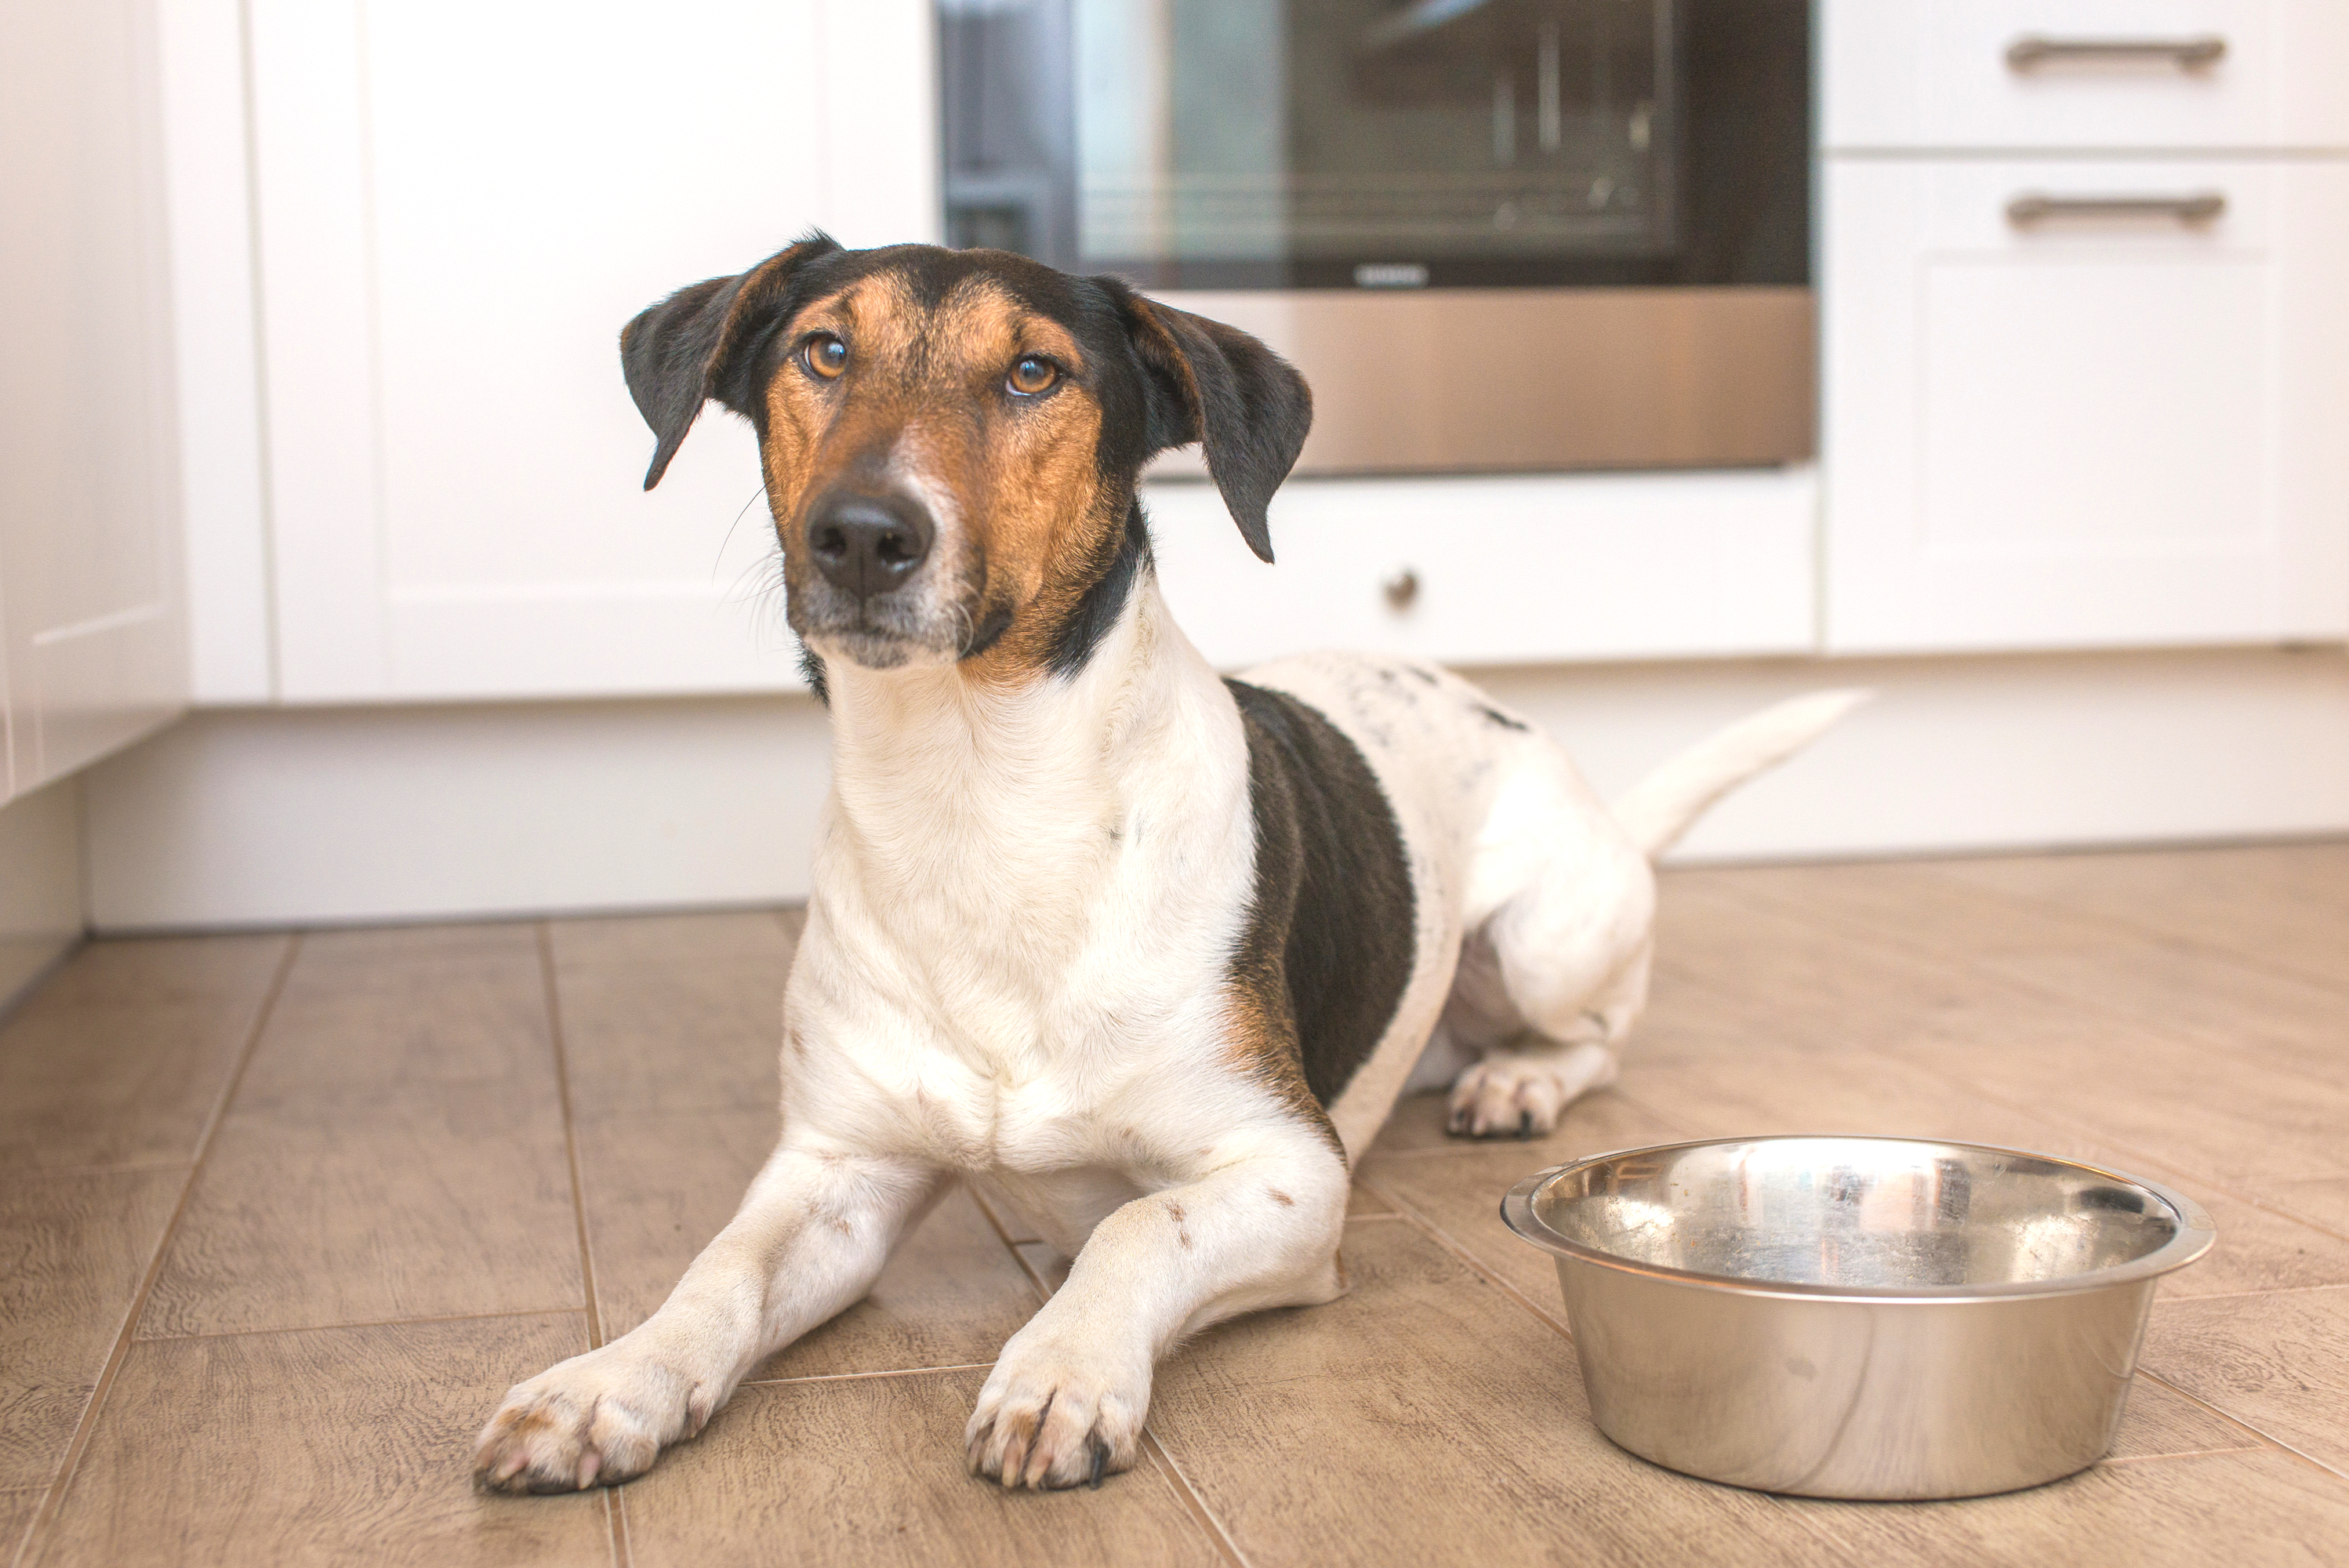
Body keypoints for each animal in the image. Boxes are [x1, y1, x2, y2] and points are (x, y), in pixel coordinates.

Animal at [467, 232, 1850, 1493]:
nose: (860, 535)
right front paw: (610, 1383)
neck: (980, 800)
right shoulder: (836, 1170)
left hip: (1548, 939)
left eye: (1035, 371)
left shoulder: (1289, 1171)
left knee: (1594, 1037)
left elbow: (1135, 1224)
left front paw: (1061, 1370)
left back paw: (1516, 1082)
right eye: (823, 351)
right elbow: (722, 1269)